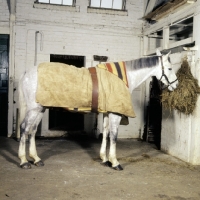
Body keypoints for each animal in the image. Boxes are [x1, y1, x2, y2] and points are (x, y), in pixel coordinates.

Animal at [17, 49, 178, 170]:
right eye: (170, 68)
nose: (176, 85)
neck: (122, 78)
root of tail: (26, 73)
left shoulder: (107, 112)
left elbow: (106, 133)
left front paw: (105, 159)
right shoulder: (115, 114)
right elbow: (113, 136)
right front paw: (115, 162)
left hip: (40, 108)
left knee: (32, 130)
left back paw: (36, 159)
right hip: (34, 108)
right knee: (24, 128)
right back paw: (24, 161)